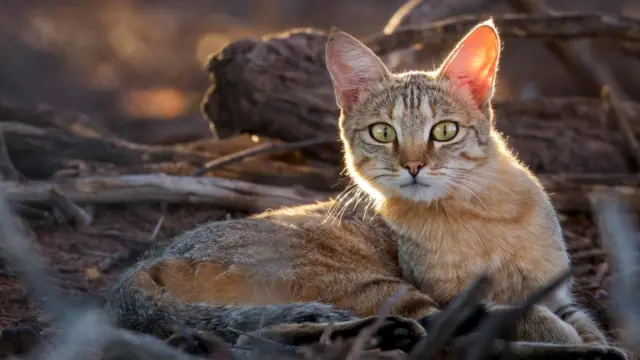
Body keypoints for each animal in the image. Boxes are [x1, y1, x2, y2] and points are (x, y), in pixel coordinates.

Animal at [109, 20, 620, 358]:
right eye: (382, 132)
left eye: (444, 131)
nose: (412, 165)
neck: (482, 214)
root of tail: (142, 263)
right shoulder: (453, 294)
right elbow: (527, 318)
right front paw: (575, 342)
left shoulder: (557, 294)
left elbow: (581, 321)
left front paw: (594, 339)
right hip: (365, 281)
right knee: (453, 337)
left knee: (256, 334)